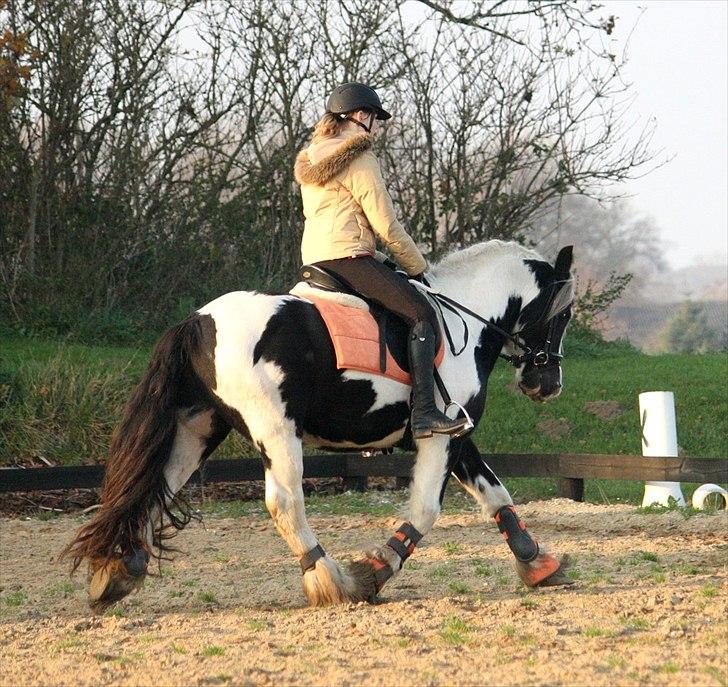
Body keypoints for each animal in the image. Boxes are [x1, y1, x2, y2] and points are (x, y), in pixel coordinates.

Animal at [64, 239, 576, 612]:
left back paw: (120, 571)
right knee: (285, 504)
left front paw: (536, 561)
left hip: (198, 429)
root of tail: (199, 321)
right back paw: (331, 580)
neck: (463, 319)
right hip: (276, 432)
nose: (548, 382)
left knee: (156, 489)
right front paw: (375, 571)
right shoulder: (439, 438)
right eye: (565, 313)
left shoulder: (456, 434)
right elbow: (427, 510)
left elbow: (497, 495)